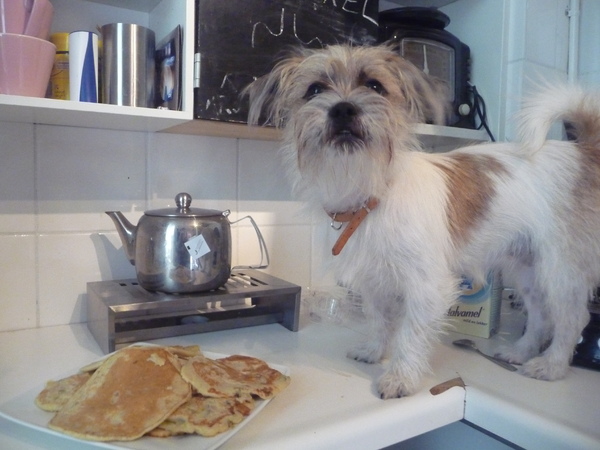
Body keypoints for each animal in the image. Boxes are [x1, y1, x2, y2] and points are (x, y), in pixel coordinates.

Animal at [244, 44, 600, 400]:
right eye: (315, 90)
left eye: (374, 86)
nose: (343, 109)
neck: (369, 194)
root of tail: (584, 151)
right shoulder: (374, 281)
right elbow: (380, 320)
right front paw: (374, 351)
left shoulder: (428, 286)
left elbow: (410, 334)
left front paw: (400, 377)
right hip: (525, 268)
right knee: (540, 314)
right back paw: (521, 351)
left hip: (560, 269)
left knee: (573, 317)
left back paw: (551, 365)